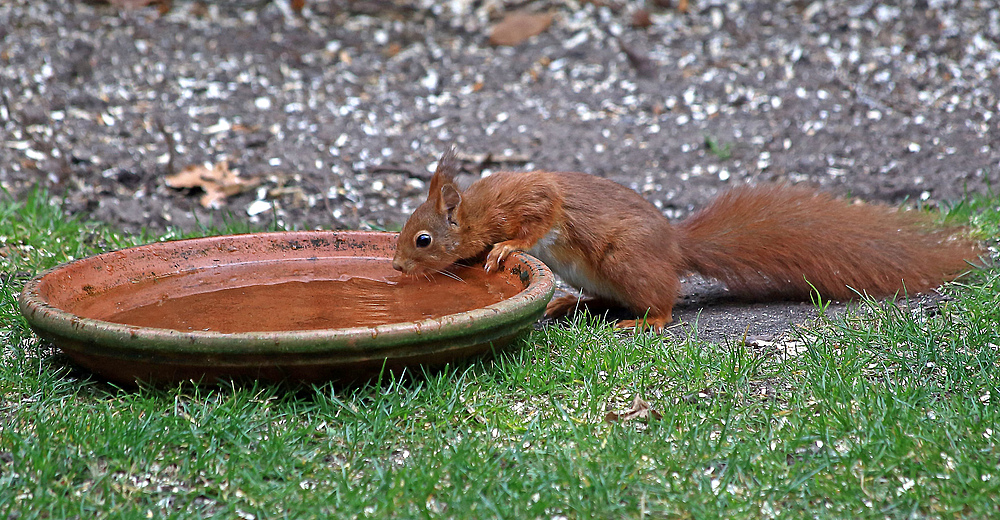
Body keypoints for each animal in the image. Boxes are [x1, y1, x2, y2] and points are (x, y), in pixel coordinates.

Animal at [390, 148, 976, 332]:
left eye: (422, 239)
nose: (394, 268)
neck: (475, 215)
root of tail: (675, 248)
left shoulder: (529, 199)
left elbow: (540, 217)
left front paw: (505, 250)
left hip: (627, 260)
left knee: (663, 302)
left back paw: (644, 322)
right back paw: (566, 303)